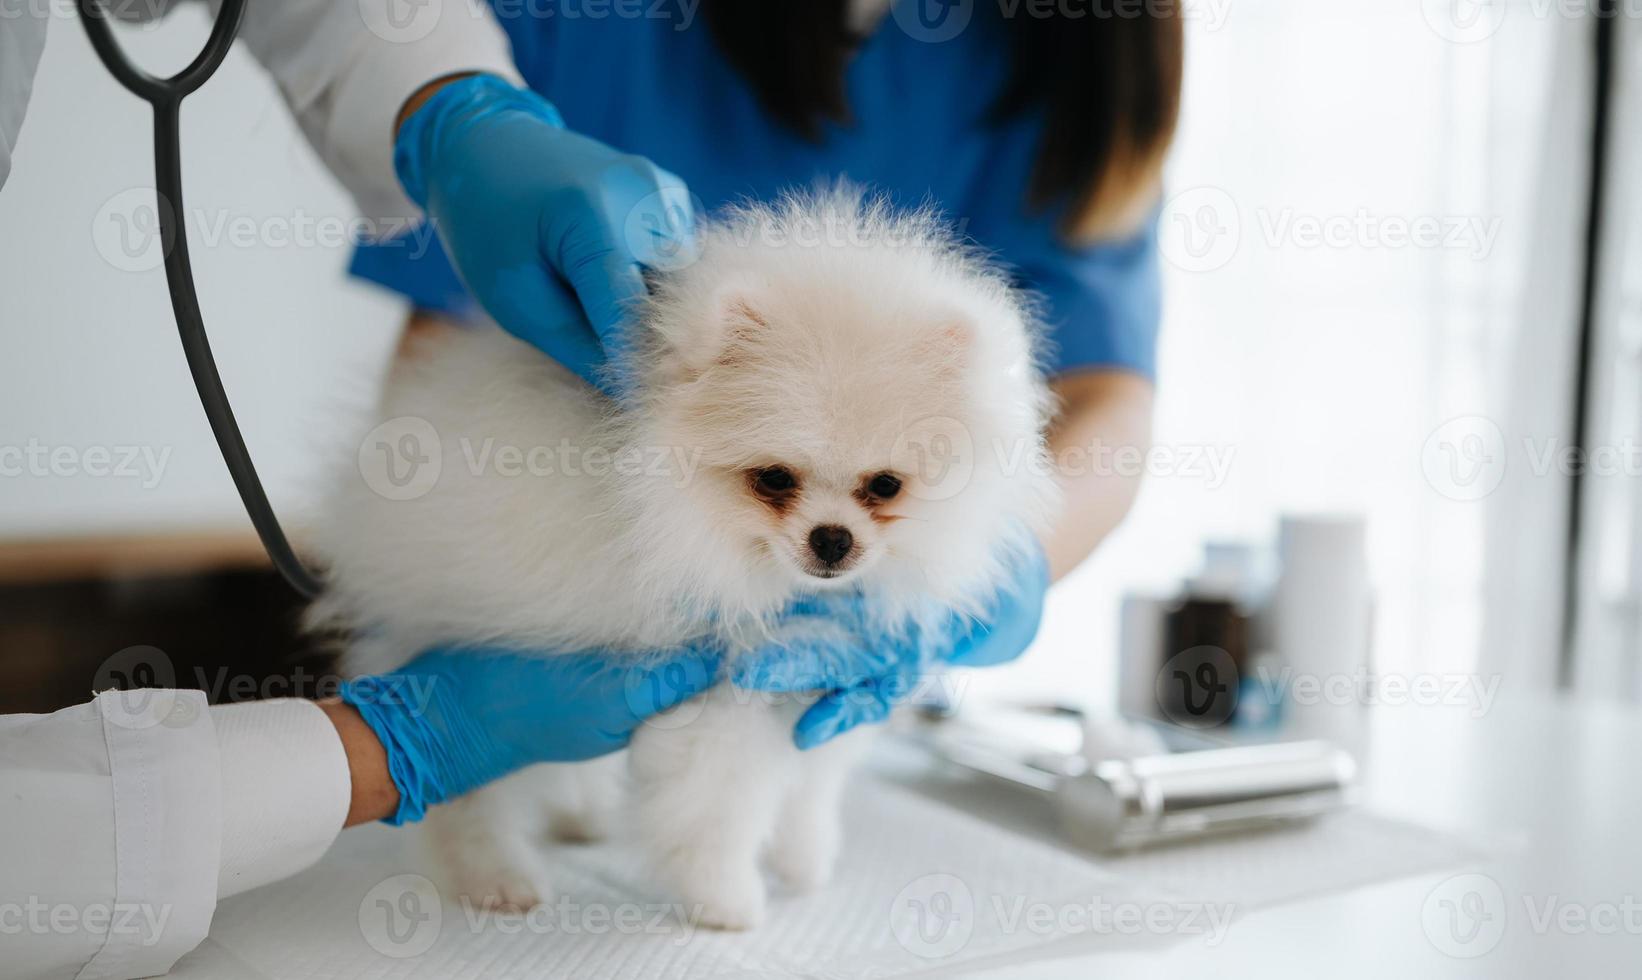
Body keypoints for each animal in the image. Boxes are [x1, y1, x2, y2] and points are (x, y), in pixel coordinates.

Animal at [308, 187, 1050, 925]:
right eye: (774, 478)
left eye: (887, 485)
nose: (832, 539)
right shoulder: (719, 704)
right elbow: (713, 816)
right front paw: (726, 902)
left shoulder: (824, 685)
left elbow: (810, 790)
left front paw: (805, 864)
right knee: (469, 792)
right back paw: (493, 874)